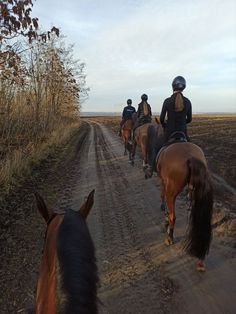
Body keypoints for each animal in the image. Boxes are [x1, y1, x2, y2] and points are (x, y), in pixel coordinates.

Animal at [147, 126, 213, 272]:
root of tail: (191, 157)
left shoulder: (163, 182)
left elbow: (163, 197)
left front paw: (164, 216)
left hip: (172, 191)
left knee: (173, 215)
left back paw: (169, 238)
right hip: (196, 192)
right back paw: (200, 260)